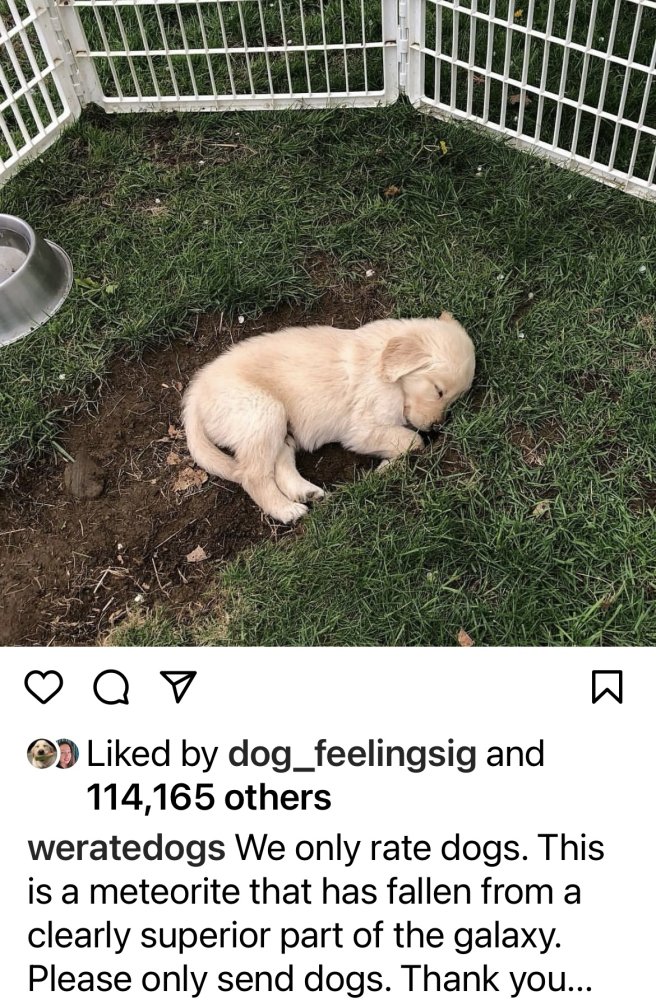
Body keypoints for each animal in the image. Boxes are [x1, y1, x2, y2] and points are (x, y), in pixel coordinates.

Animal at [183, 313, 475, 523]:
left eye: (456, 399)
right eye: (438, 391)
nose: (437, 427)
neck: (385, 370)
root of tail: (195, 395)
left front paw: (388, 467)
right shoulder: (362, 428)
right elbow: (413, 441)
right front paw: (385, 468)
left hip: (280, 423)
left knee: (280, 463)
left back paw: (304, 491)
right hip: (262, 411)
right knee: (252, 475)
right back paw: (285, 510)